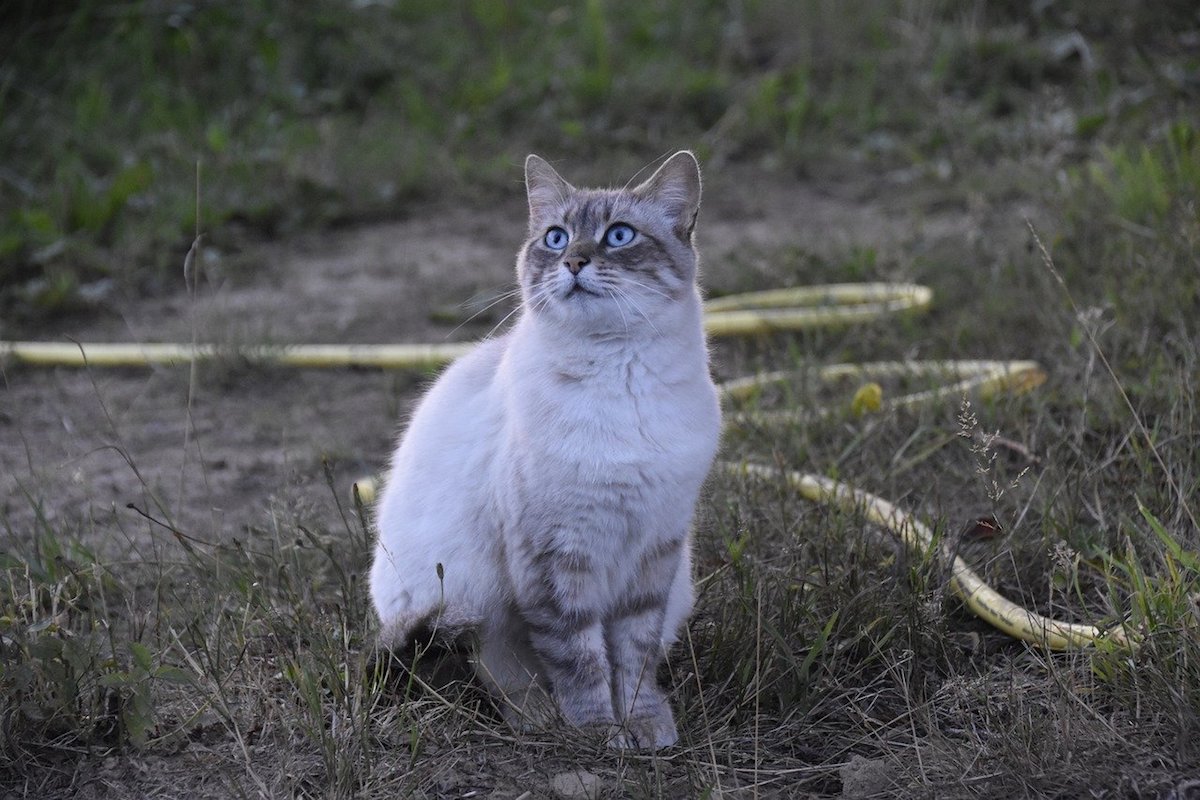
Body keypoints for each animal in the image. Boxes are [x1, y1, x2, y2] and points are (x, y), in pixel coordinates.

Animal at [367, 151, 720, 753]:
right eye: (556, 238)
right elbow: (580, 661)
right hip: (465, 600)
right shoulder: (556, 555)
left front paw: (644, 725)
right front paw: (600, 734)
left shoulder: (654, 550)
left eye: (619, 236)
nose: (574, 262)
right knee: (498, 671)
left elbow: (634, 658)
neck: (618, 376)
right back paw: (540, 721)